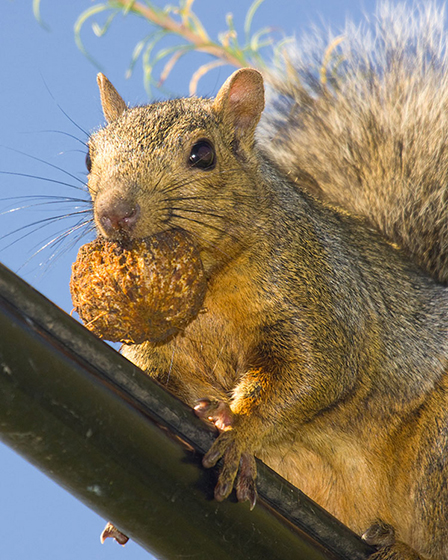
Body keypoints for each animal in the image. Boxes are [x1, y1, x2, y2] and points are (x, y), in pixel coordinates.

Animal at [82, 4, 448, 560]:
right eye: (89, 156)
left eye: (203, 153)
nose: (113, 214)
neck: (208, 287)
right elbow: (151, 371)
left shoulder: (320, 297)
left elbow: (313, 372)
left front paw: (240, 435)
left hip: (439, 448)